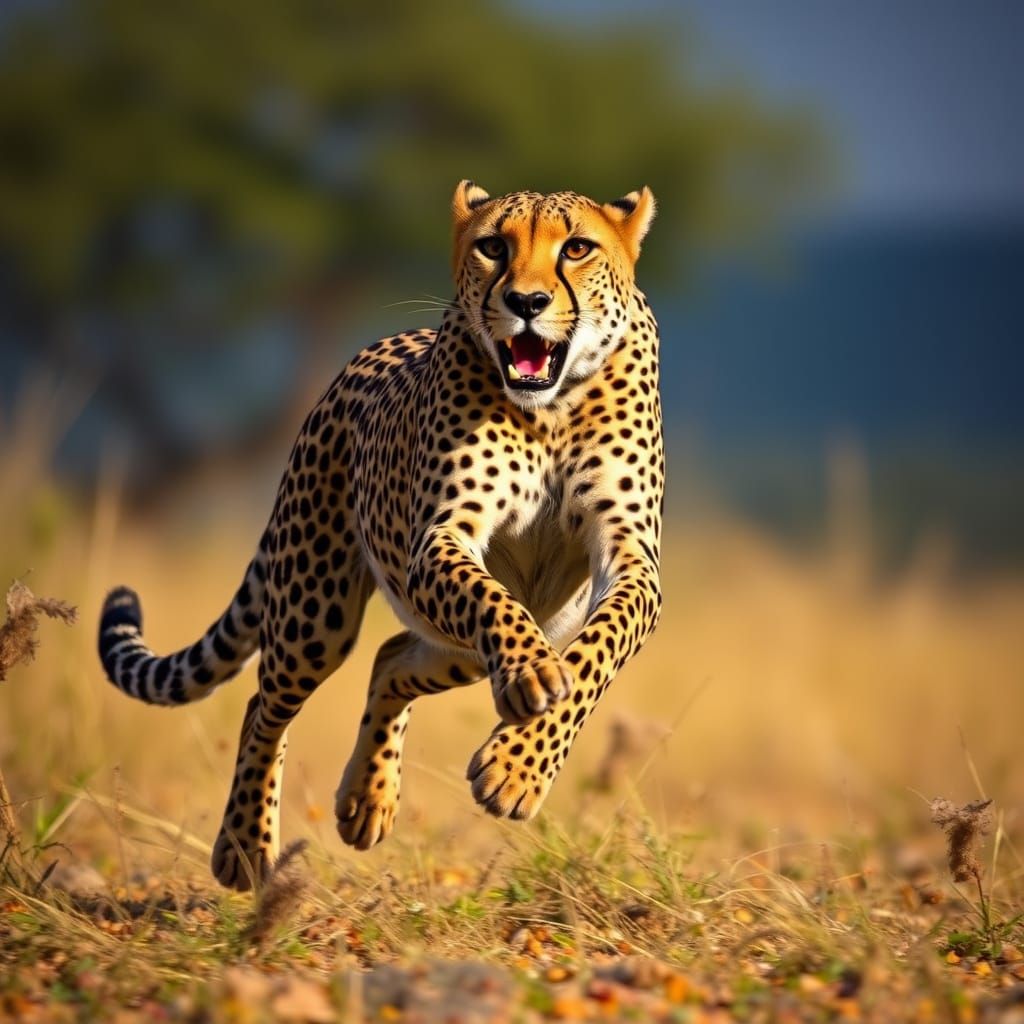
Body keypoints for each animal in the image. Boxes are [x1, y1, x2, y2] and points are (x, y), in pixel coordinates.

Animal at [98, 181, 664, 891]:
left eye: (577, 249)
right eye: (493, 246)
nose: (526, 303)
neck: (551, 409)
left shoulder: (631, 556)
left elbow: (596, 653)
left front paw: (516, 770)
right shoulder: (441, 539)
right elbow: (495, 607)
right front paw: (531, 675)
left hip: (484, 637)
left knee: (392, 657)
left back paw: (366, 800)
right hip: (315, 614)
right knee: (266, 703)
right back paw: (245, 846)